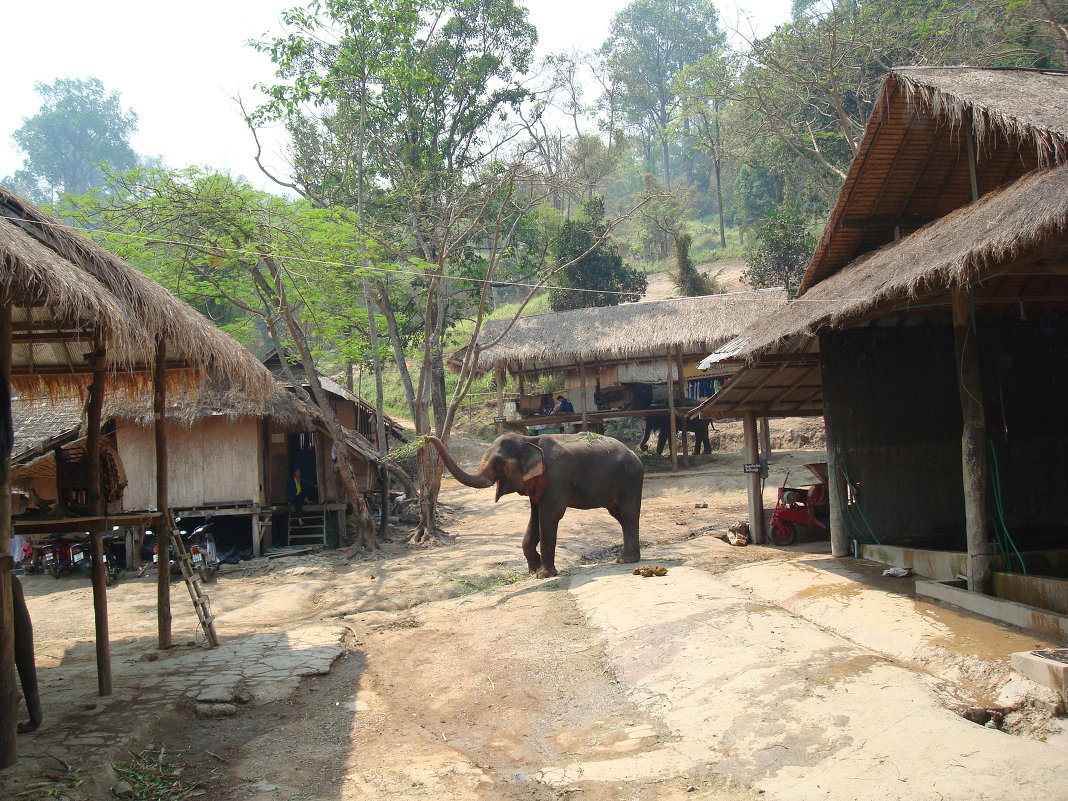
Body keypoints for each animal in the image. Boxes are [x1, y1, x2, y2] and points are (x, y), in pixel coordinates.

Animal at [427, 433, 640, 576]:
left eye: (498, 463)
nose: (427, 438)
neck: (529, 439)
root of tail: (634, 453)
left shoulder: (557, 476)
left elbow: (549, 515)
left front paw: (543, 574)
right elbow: (535, 515)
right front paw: (533, 570)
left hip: (630, 478)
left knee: (628, 513)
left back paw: (626, 560)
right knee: (620, 516)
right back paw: (626, 558)